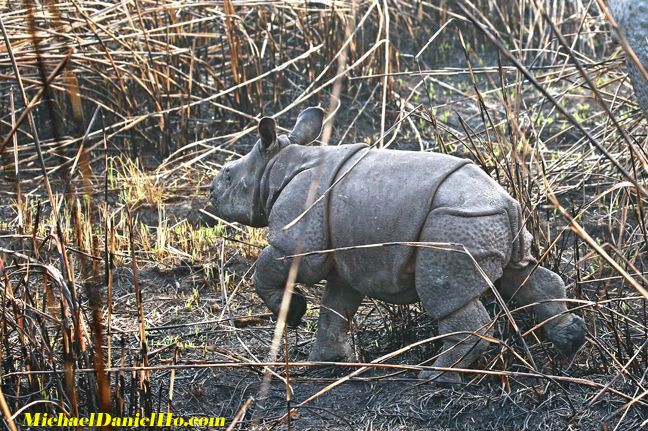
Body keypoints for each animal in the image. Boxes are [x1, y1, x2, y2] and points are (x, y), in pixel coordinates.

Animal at [210, 106, 584, 384]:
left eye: (228, 176)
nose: (211, 192)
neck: (278, 164)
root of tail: (507, 203)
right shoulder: (347, 257)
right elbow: (336, 308)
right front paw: (327, 364)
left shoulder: (297, 241)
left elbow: (267, 269)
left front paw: (294, 313)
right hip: (488, 224)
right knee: (522, 274)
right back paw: (571, 339)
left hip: (455, 224)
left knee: (445, 293)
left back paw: (436, 377)